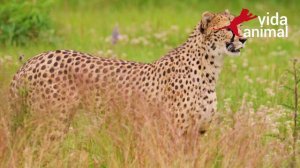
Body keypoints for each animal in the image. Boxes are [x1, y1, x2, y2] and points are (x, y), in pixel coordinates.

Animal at [10, 9, 247, 136]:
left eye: (240, 26)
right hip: (51, 121)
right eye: (227, 28)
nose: (244, 39)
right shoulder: (175, 131)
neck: (210, 68)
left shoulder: (197, 131)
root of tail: (33, 59)